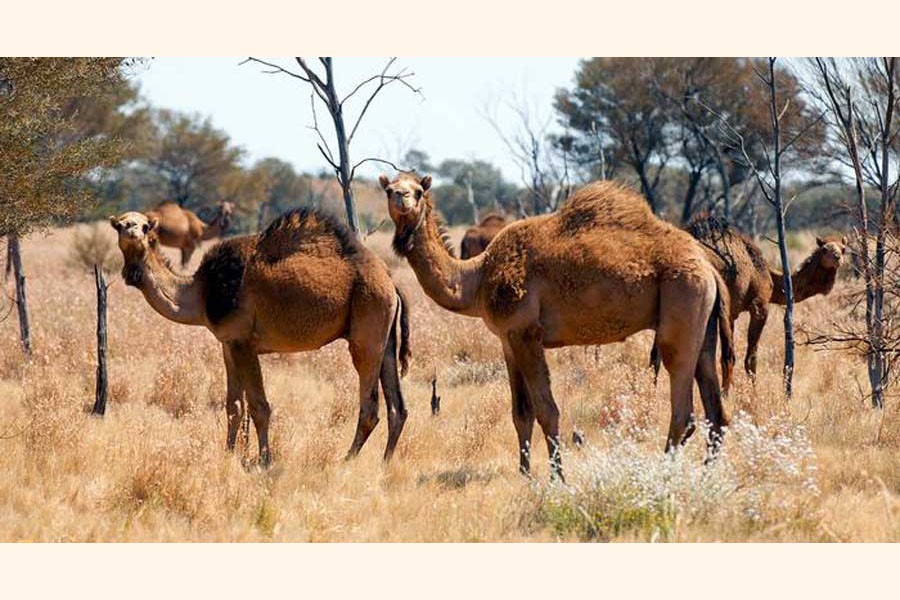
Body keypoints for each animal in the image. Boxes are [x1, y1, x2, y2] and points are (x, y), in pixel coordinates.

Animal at [109, 207, 411, 466]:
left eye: (146, 226)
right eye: (120, 225)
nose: (133, 230)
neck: (202, 293)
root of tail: (391, 282)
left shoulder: (244, 342)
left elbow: (259, 407)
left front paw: (264, 460)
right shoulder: (228, 344)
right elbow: (233, 405)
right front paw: (229, 454)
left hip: (366, 330)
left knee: (370, 407)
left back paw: (346, 461)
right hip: (385, 338)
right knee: (398, 407)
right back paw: (385, 463)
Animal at [381, 173, 734, 479]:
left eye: (418, 190)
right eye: (390, 188)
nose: (401, 197)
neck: (475, 279)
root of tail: (710, 269)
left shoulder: (526, 333)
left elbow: (546, 410)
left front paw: (557, 477)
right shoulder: (507, 340)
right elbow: (520, 412)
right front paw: (524, 474)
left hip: (683, 302)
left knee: (684, 408)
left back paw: (662, 474)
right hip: (703, 325)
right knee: (716, 410)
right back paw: (707, 475)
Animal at [650, 214, 847, 380]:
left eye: (844, 248)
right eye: (824, 249)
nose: (837, 257)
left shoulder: (732, 313)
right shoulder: (759, 305)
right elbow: (747, 359)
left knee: (656, 356)